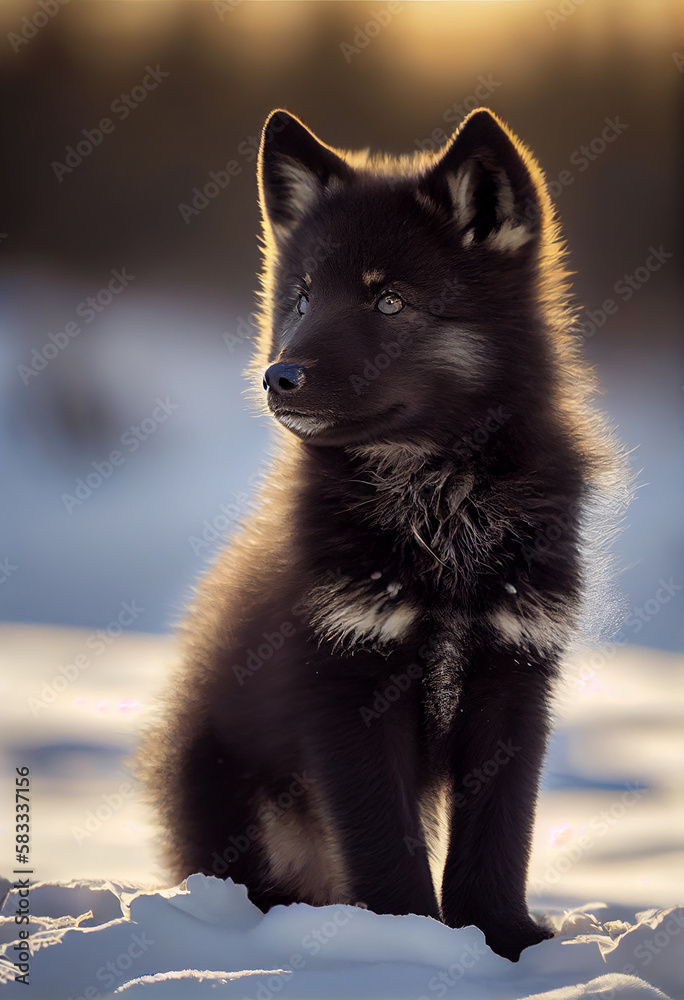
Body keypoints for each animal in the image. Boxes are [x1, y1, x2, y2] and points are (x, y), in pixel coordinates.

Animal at [140, 108, 624, 962]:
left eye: (390, 301)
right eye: (302, 298)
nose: (280, 377)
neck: (439, 505)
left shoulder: (516, 673)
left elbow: (499, 835)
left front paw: (503, 940)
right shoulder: (345, 683)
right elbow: (382, 844)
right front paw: (411, 946)